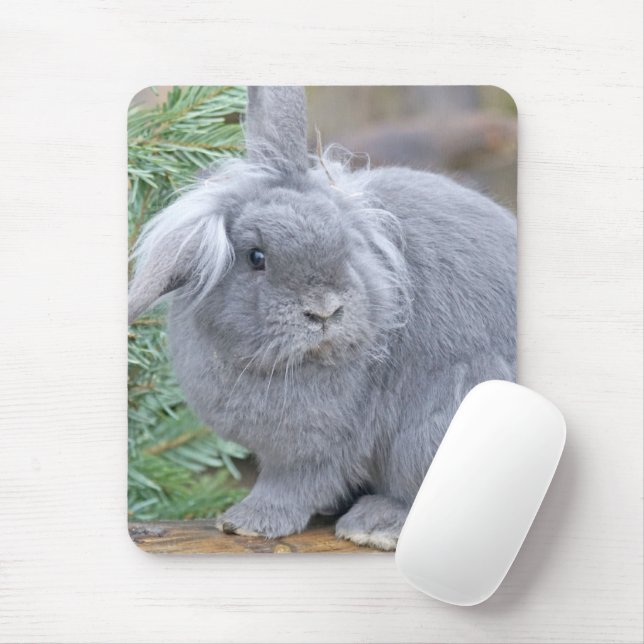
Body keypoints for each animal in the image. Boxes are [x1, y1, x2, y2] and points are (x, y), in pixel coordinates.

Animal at [128, 86, 516, 550]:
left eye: (344, 243)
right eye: (256, 257)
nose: (325, 310)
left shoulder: (314, 449)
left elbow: (293, 485)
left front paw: (247, 521)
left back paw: (374, 525)